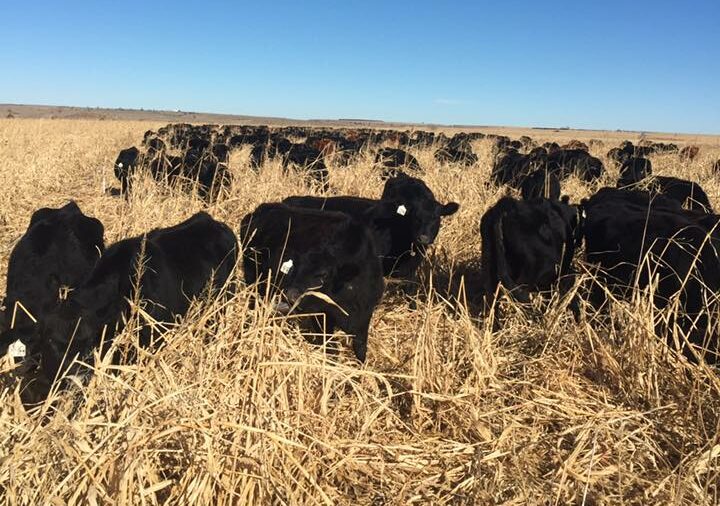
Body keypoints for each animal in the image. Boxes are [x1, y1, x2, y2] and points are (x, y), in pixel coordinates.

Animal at [240, 203, 384, 362]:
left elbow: (360, 348)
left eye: (324, 274)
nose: (291, 295)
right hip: (253, 279)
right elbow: (331, 347)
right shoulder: (321, 316)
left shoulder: (363, 317)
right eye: (297, 267)